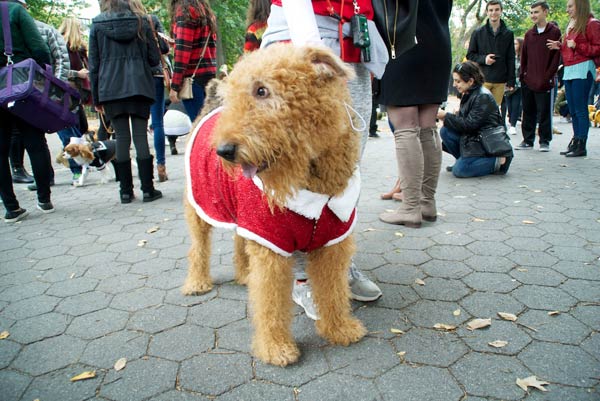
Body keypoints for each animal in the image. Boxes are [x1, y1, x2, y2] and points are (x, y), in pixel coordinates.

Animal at [183, 44, 364, 366]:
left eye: (262, 90)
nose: (224, 151)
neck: (314, 185)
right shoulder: (271, 244)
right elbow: (271, 302)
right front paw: (276, 347)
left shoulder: (332, 242)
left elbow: (333, 290)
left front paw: (339, 328)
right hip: (201, 208)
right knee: (198, 247)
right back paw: (197, 282)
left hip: (240, 214)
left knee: (238, 242)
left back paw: (244, 275)